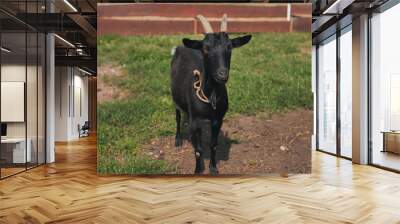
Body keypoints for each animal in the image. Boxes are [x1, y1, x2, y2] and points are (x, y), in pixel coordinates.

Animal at [170, 14, 252, 175]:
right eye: (206, 48)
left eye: (230, 47)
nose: (222, 74)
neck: (211, 97)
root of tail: (181, 47)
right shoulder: (196, 120)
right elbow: (198, 149)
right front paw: (198, 169)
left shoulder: (217, 119)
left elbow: (213, 144)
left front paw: (213, 168)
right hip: (175, 98)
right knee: (178, 117)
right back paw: (178, 140)